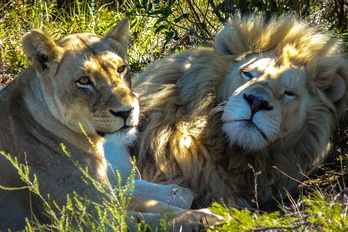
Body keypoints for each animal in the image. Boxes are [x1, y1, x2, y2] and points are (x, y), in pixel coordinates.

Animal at [0, 18, 220, 230]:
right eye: (84, 80)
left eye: (120, 69)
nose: (127, 111)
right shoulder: (96, 220)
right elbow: (165, 218)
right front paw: (212, 216)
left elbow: (165, 197)